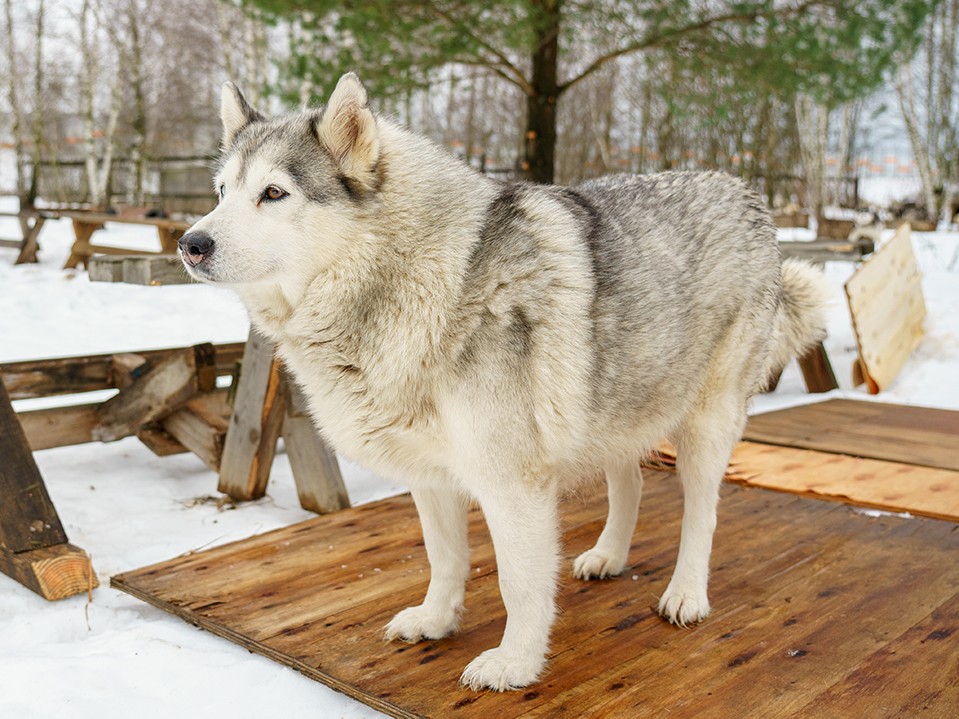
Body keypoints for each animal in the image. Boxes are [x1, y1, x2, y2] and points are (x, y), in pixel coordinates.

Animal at [182, 71, 832, 692]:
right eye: (222, 193)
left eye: (273, 193)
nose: (191, 243)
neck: (421, 282)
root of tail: (743, 189)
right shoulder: (430, 477)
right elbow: (445, 559)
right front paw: (436, 620)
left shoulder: (511, 485)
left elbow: (518, 584)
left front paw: (515, 665)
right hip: (614, 416)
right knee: (631, 486)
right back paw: (608, 556)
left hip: (703, 432)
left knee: (701, 515)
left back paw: (686, 596)